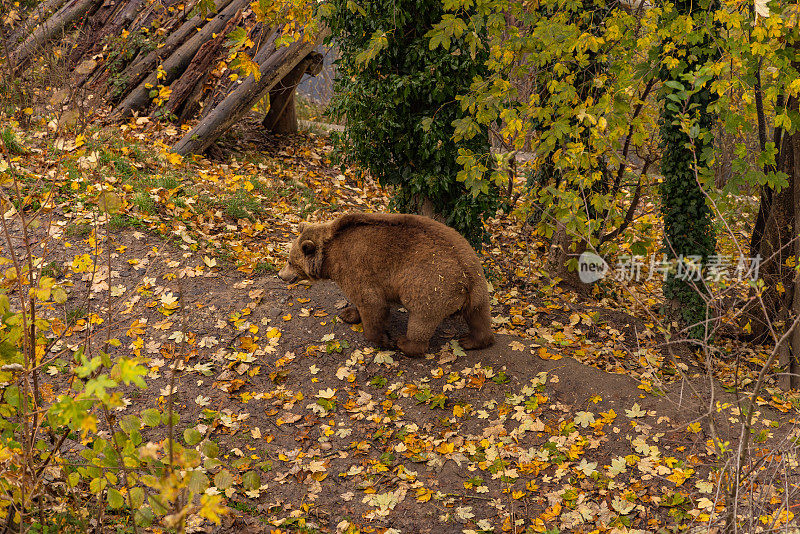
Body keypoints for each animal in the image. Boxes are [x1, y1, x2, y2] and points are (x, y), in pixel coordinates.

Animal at [280, 211, 494, 358]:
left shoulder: (356, 267)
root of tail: (466, 275)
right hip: (478, 286)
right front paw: (348, 313)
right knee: (479, 316)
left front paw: (384, 339)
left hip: (429, 286)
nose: (281, 275)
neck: (330, 257)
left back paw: (405, 343)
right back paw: (472, 340)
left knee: (421, 319)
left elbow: (373, 304)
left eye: (290, 261)